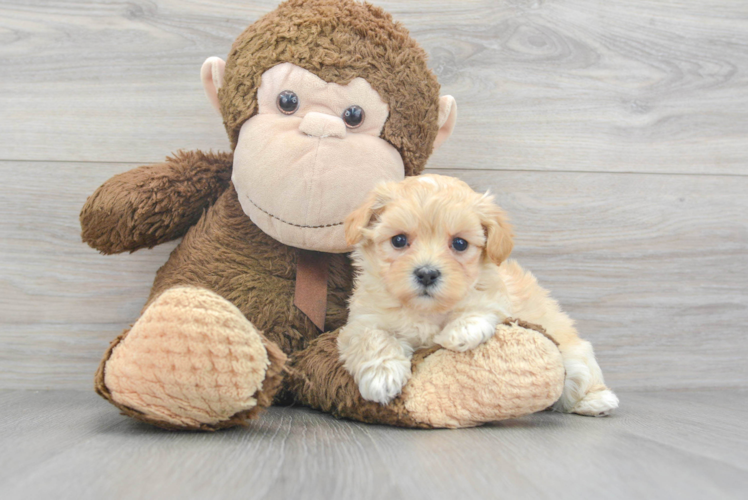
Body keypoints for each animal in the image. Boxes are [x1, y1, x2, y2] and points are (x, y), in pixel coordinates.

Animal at [338, 174, 620, 416]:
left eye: (460, 243)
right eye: (398, 240)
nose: (427, 274)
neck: (427, 310)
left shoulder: (499, 297)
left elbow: (484, 306)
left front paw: (461, 331)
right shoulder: (362, 320)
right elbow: (372, 337)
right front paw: (382, 375)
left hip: (575, 359)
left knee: (578, 382)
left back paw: (596, 401)